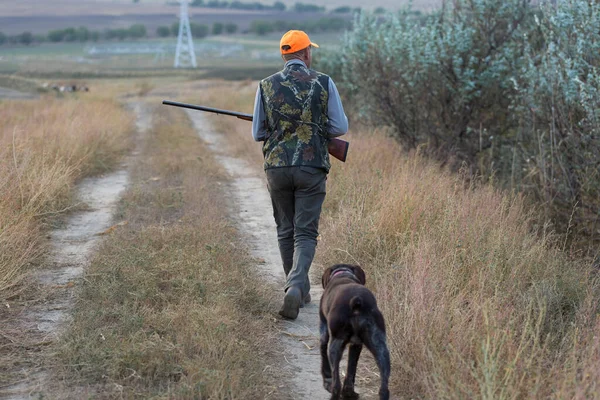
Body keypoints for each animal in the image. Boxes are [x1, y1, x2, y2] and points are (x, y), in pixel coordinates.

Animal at [322, 264, 392, 398]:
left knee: (336, 383)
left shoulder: (324, 333)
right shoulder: (356, 344)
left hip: (335, 346)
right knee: (384, 388)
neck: (343, 274)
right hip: (380, 348)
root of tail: (357, 302)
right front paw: (349, 392)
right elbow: (351, 368)